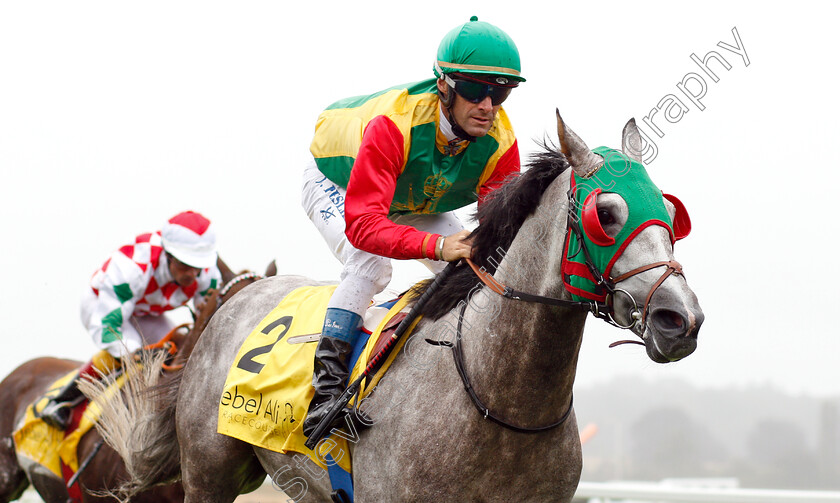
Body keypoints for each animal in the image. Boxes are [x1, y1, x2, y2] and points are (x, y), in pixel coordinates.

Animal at [85, 114, 704, 503]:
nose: (681, 318)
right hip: (209, 473)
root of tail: (235, 297)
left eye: (671, 212)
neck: (500, 402)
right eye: (607, 212)